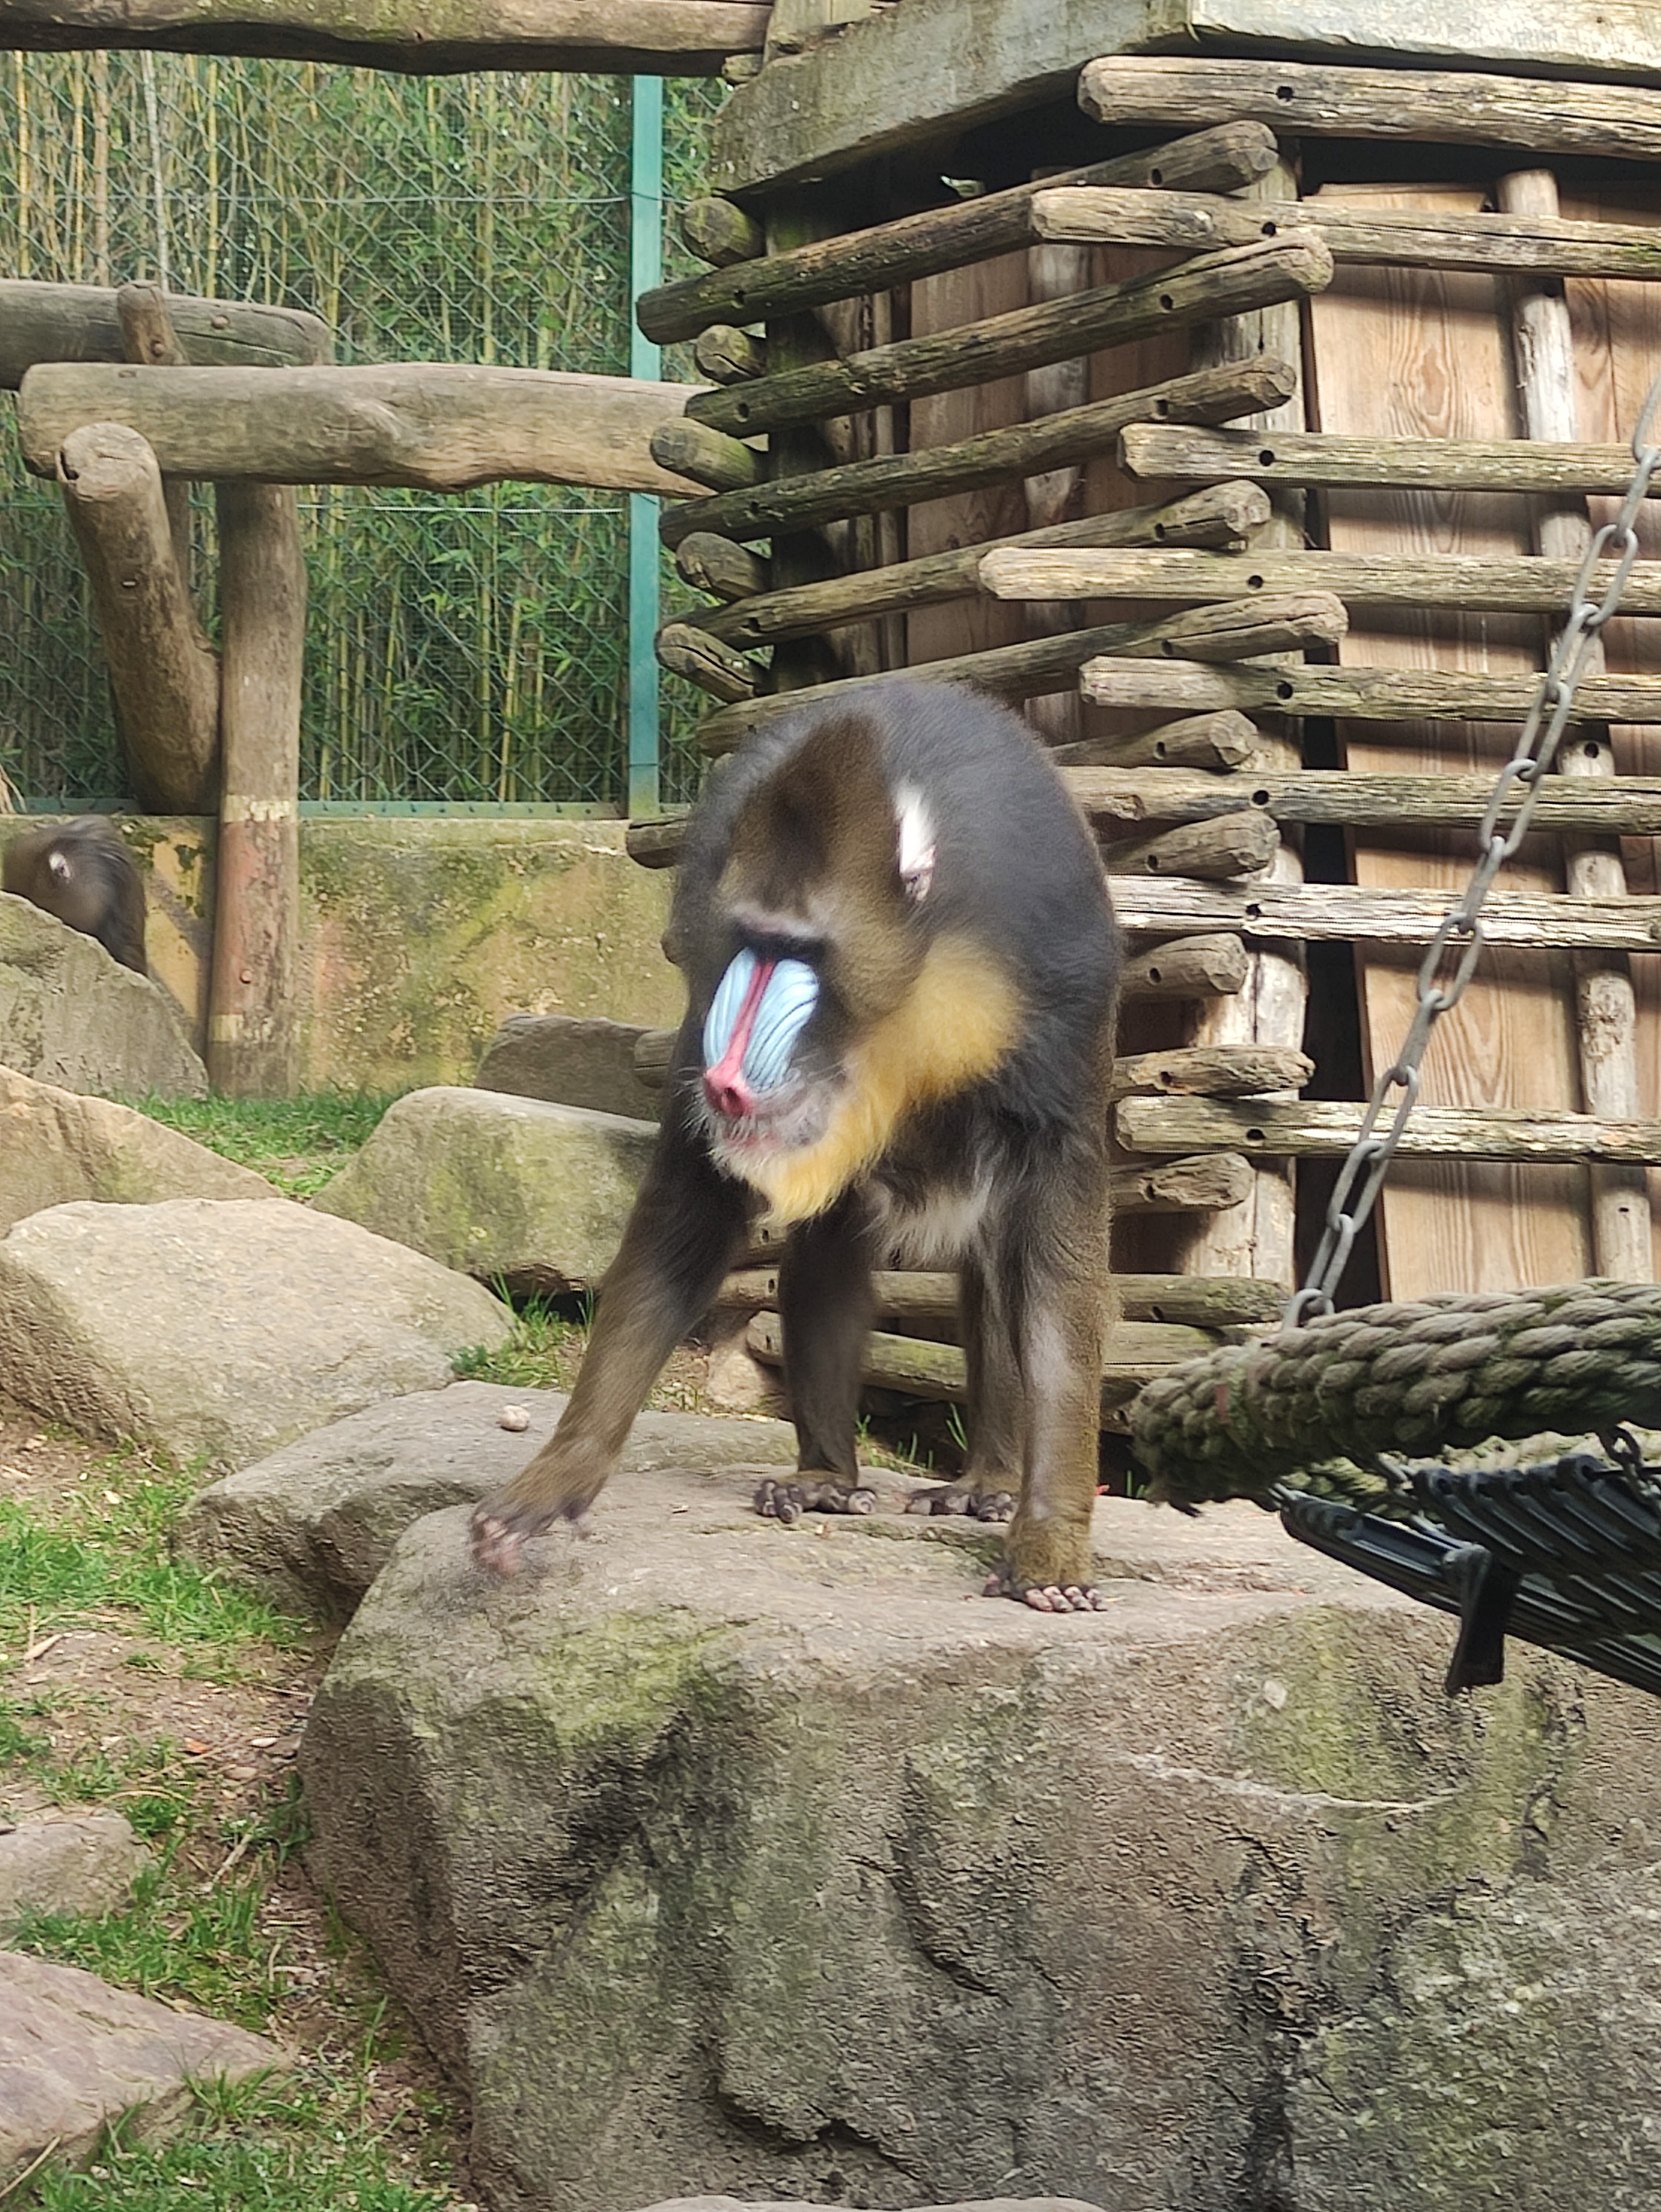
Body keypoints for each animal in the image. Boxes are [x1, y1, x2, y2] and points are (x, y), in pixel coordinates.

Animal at [470, 677, 1121, 1611]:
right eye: (752, 942)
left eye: (802, 949)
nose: (727, 1082)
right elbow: (684, 1224)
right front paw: (559, 1477)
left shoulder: (1056, 1057)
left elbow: (1056, 1298)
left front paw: (1051, 1547)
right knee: (827, 1257)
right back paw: (823, 1478)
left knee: (994, 1279)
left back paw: (988, 1482)